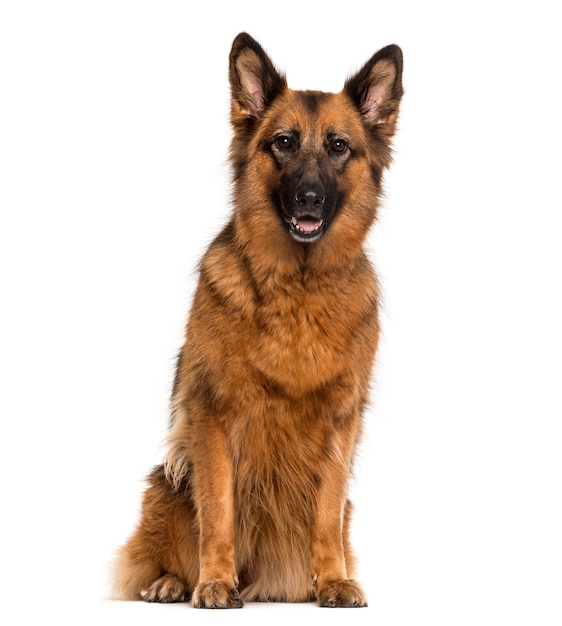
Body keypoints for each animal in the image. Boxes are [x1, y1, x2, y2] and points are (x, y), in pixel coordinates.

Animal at [114, 33, 400, 604]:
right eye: (283, 143)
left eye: (339, 146)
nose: (308, 198)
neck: (300, 288)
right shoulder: (213, 416)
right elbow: (219, 510)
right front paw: (214, 582)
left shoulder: (341, 421)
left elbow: (325, 514)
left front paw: (333, 580)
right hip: (166, 486)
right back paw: (171, 582)